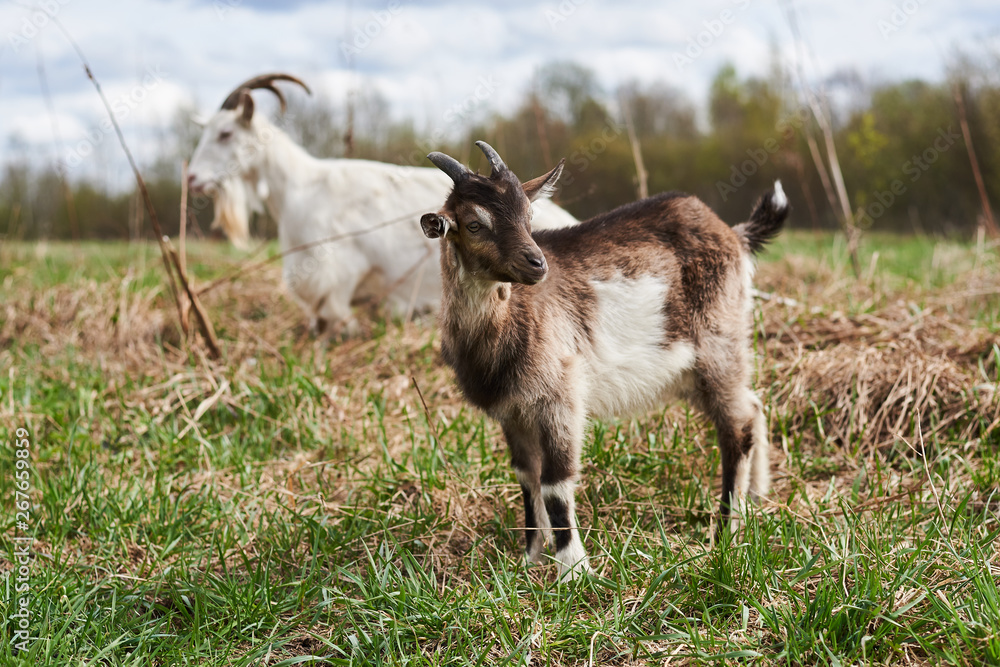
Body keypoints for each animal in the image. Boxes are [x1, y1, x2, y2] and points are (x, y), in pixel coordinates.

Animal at [419, 141, 787, 579]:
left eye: (529, 216)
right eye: (474, 224)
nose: (536, 264)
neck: (506, 321)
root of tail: (732, 234)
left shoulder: (560, 397)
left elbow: (554, 482)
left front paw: (573, 569)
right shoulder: (512, 413)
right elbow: (527, 478)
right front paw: (530, 558)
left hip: (718, 344)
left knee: (737, 426)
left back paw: (726, 529)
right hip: (695, 369)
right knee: (753, 405)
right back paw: (756, 498)